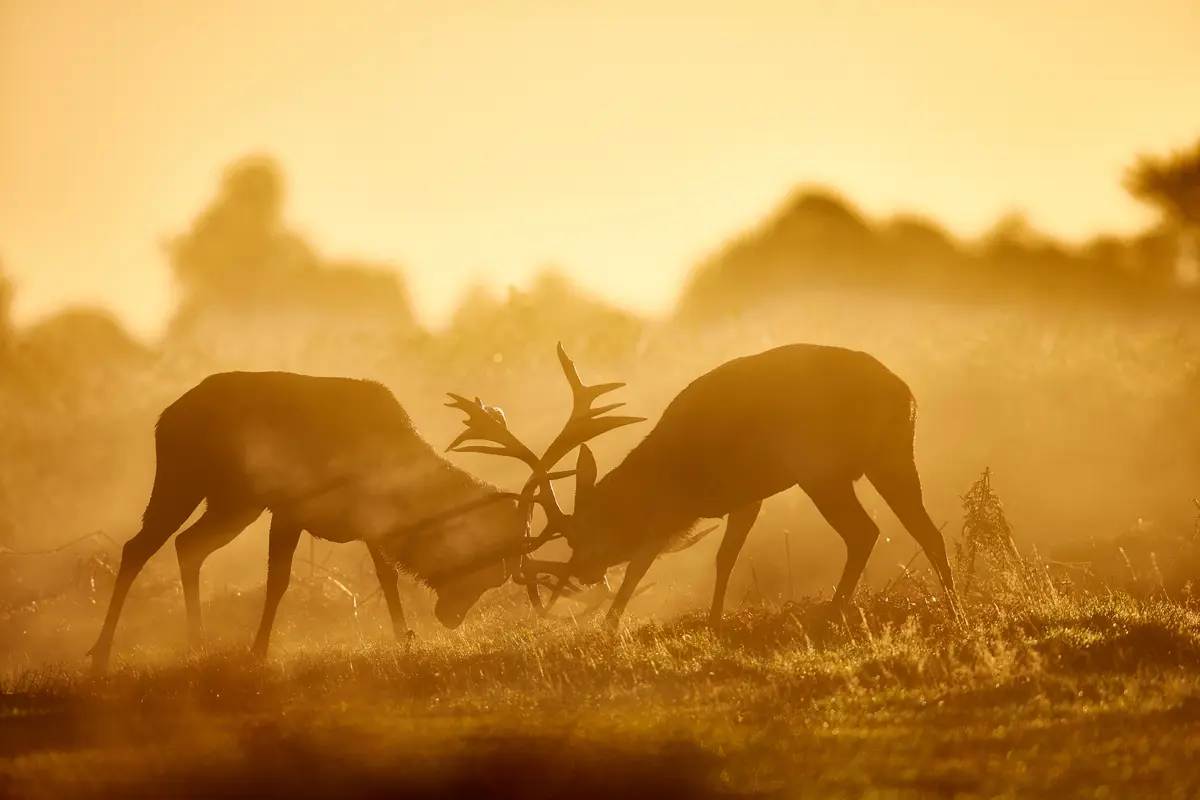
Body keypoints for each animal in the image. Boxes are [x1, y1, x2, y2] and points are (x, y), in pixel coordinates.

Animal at [87, 368, 641, 675]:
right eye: (487, 567)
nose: (451, 618)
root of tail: (164, 416)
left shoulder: (367, 522)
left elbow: (386, 575)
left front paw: (404, 639)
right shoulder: (293, 507)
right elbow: (280, 581)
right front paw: (258, 652)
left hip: (235, 502)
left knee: (188, 546)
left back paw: (195, 643)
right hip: (182, 477)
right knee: (139, 547)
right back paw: (100, 652)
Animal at [455, 343, 963, 629]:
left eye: (586, 533)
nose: (582, 572)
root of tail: (908, 395)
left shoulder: (673, 509)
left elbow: (640, 565)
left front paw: (609, 628)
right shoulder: (746, 497)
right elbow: (725, 557)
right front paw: (716, 622)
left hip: (822, 470)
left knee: (866, 532)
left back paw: (833, 615)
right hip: (890, 457)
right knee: (925, 532)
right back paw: (955, 612)